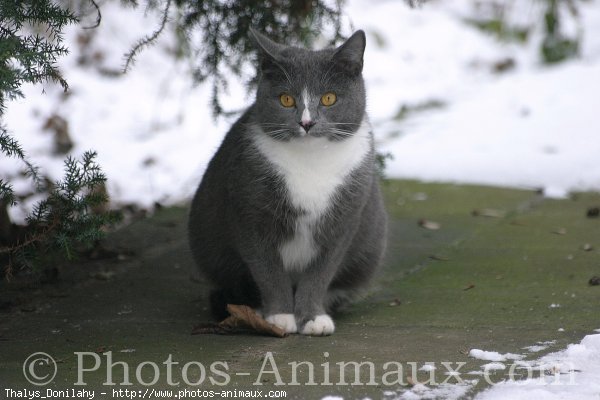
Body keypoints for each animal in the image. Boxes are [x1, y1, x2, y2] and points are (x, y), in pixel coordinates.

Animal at [188, 28, 386, 336]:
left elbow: (321, 272)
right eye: (286, 100)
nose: (307, 123)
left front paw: (313, 318)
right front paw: (280, 316)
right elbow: (267, 269)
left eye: (329, 98)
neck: (311, 160)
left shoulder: (345, 220)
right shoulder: (249, 212)